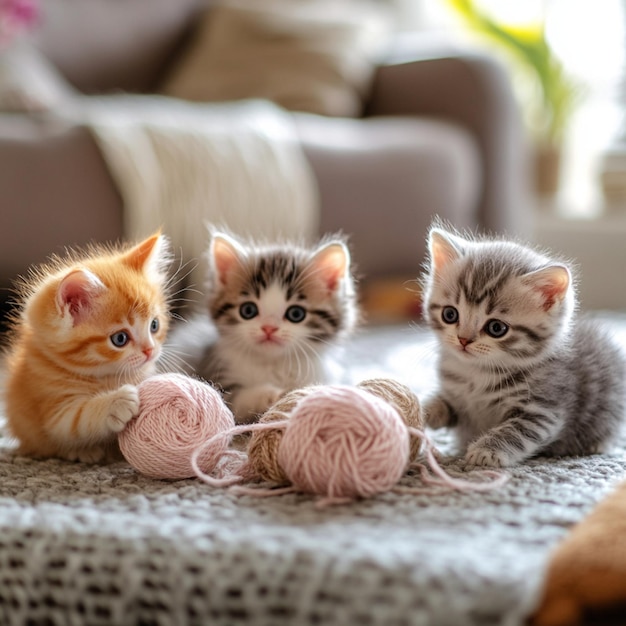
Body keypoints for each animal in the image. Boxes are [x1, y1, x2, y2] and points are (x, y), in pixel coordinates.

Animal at [3, 232, 171, 460]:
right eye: (120, 339)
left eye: (154, 325)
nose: (150, 351)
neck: (105, 375)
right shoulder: (53, 410)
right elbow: (78, 418)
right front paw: (116, 402)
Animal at [168, 232, 358, 422]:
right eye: (248, 310)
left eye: (296, 314)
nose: (269, 328)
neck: (273, 364)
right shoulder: (212, 373)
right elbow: (232, 401)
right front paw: (274, 395)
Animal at [420, 223, 624, 464]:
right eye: (450, 314)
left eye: (496, 328)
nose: (463, 340)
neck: (476, 373)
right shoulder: (456, 397)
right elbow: (442, 403)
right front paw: (420, 410)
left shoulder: (543, 411)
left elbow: (517, 431)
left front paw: (486, 450)